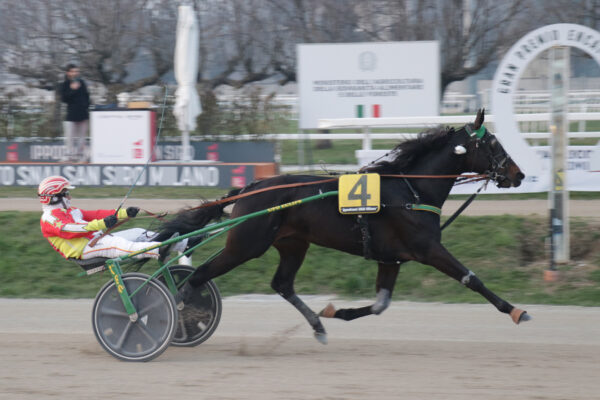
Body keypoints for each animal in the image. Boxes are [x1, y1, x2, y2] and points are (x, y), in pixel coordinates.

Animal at [158, 110, 528, 344]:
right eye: (493, 144)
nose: (519, 174)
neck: (411, 189)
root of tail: (251, 187)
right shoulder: (427, 249)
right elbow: (471, 278)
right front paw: (516, 311)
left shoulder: (391, 258)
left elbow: (380, 304)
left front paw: (337, 311)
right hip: (246, 245)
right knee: (197, 276)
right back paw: (178, 314)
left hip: (292, 244)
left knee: (282, 283)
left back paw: (318, 325)